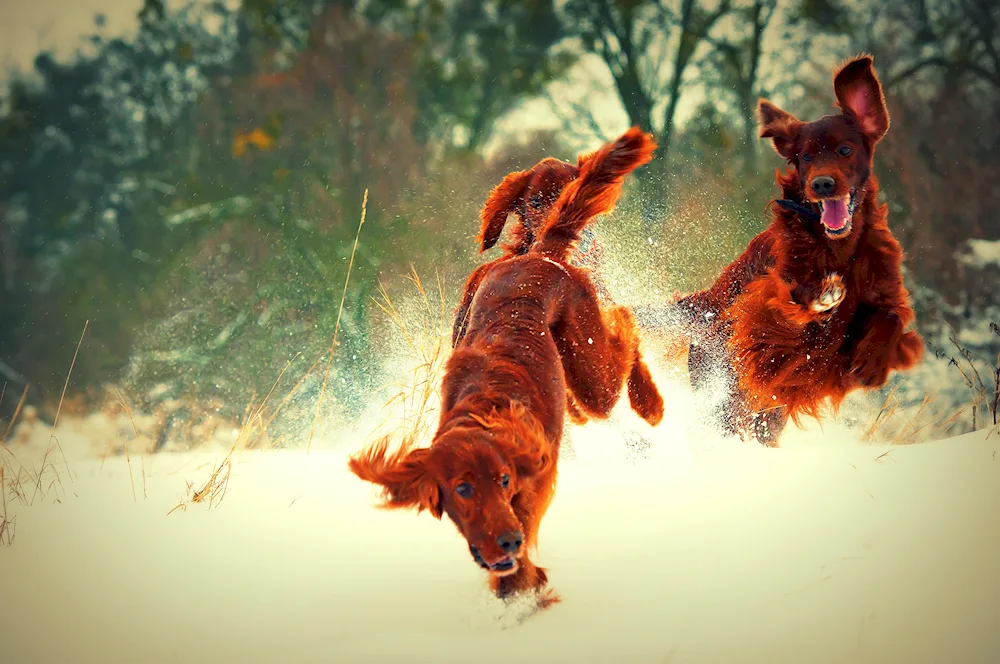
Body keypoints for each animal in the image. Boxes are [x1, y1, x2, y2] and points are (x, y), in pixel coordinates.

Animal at [348, 127, 668, 608]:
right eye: (461, 489)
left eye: (502, 480)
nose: (505, 543)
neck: (489, 402)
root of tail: (544, 254)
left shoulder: (534, 485)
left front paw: (525, 586)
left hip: (590, 371)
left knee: (626, 328)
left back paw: (650, 403)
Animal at [660, 55, 924, 446]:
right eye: (806, 156)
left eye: (845, 149)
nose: (822, 184)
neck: (838, 248)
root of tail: (703, 304)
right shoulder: (771, 307)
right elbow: (786, 304)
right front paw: (824, 298)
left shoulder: (883, 289)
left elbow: (891, 315)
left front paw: (874, 361)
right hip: (727, 397)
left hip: (767, 413)